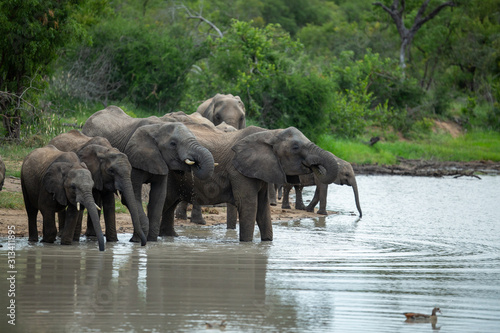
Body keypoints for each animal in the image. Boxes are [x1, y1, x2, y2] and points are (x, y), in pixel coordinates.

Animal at [82, 105, 215, 240]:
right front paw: (139, 239)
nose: (195, 163)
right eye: (173, 144)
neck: (158, 127)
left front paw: (152, 240)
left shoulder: (161, 161)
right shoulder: (134, 159)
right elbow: (132, 196)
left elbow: (159, 196)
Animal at [160, 123, 340, 240]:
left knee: (169, 205)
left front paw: (266, 243)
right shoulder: (238, 171)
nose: (315, 167)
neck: (269, 133)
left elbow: (263, 209)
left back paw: (170, 237)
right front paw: (247, 244)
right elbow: (249, 206)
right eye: (295, 147)